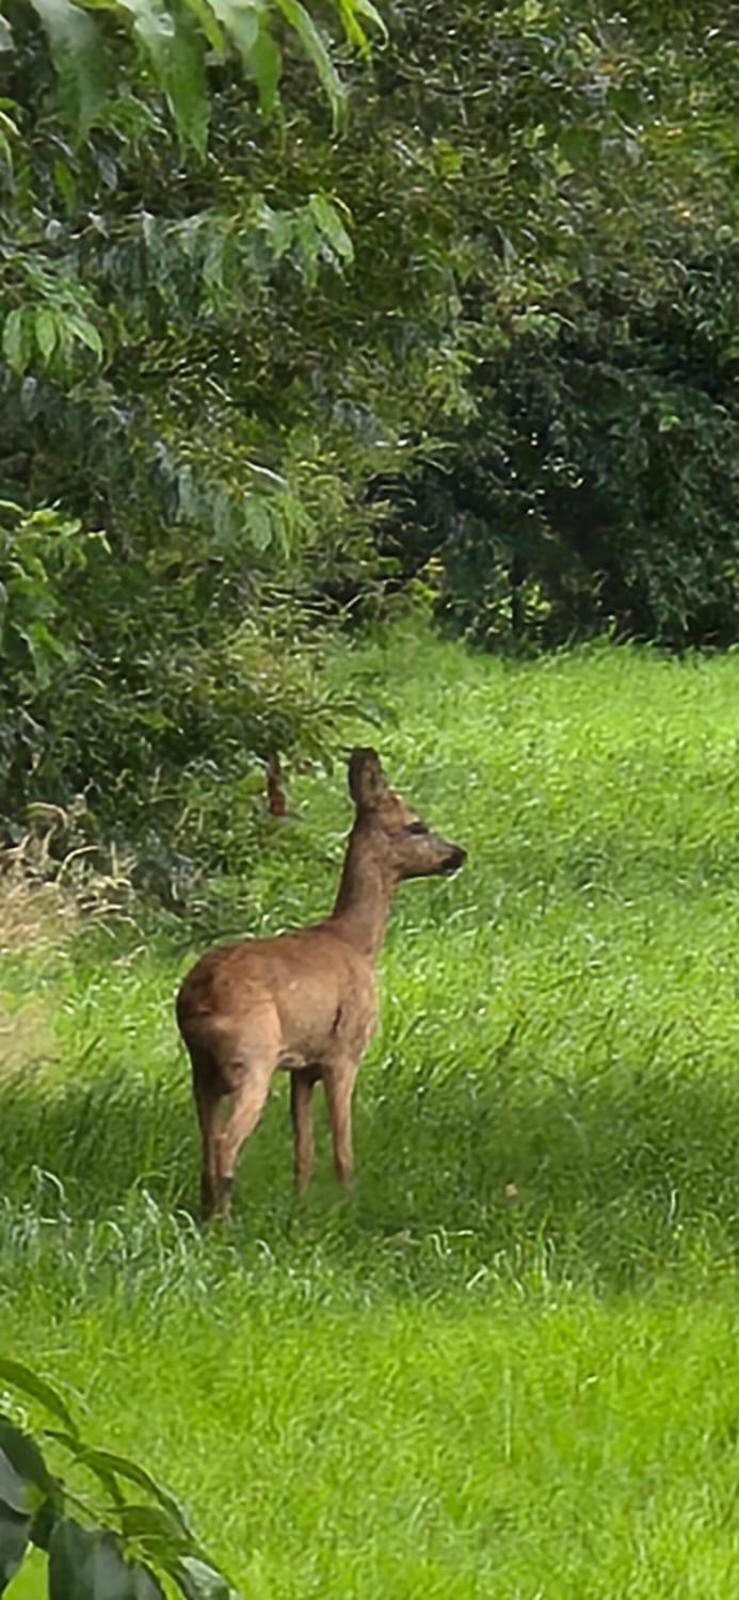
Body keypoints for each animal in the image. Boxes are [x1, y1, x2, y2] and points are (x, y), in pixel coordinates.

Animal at [175, 742, 463, 1216]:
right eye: (416, 825)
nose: (459, 853)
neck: (356, 941)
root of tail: (194, 1000)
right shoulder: (344, 1051)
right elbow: (343, 1148)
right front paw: (348, 1205)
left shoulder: (302, 1065)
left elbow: (304, 1148)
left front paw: (301, 1205)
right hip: (251, 1056)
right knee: (224, 1145)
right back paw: (224, 1221)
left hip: (202, 1070)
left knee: (205, 1146)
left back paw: (207, 1214)